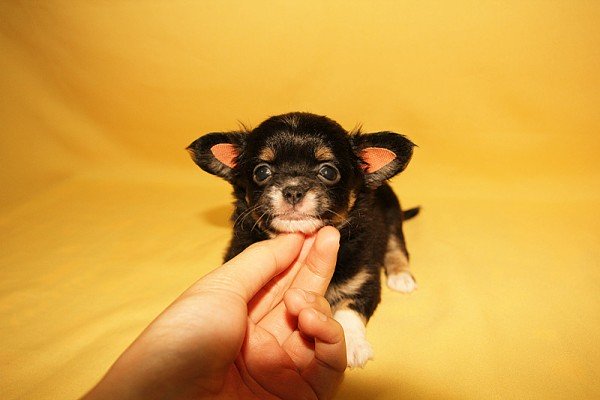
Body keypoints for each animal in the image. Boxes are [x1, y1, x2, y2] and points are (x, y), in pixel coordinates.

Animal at [187, 112, 418, 368]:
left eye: (328, 172)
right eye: (262, 172)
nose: (293, 191)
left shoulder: (363, 280)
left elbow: (349, 310)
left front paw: (352, 344)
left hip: (392, 215)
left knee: (397, 247)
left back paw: (401, 276)